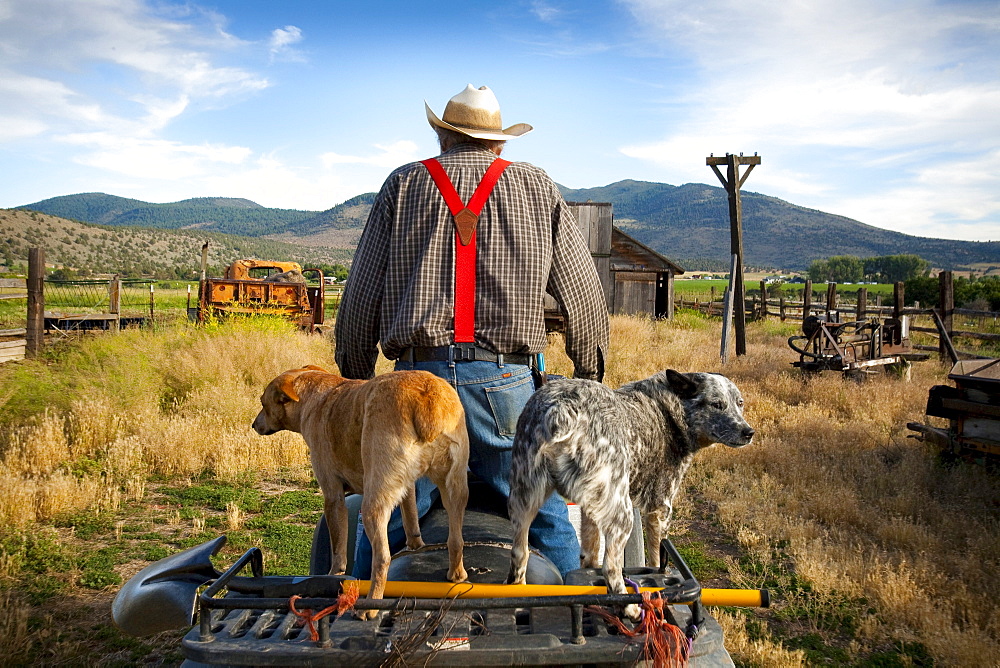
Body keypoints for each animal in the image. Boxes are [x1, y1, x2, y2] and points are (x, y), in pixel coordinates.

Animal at [250, 366, 468, 616]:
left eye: (263, 403)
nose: (253, 425)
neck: (316, 395)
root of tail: (426, 397)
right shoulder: (408, 487)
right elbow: (411, 518)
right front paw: (416, 546)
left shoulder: (333, 496)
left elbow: (338, 549)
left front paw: (333, 576)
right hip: (455, 487)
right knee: (456, 540)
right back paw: (456, 575)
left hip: (373, 502)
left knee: (382, 558)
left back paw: (370, 605)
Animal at [508, 368, 752, 620]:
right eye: (717, 404)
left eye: (740, 403)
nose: (748, 432)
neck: (669, 409)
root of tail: (562, 408)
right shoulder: (660, 509)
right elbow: (656, 560)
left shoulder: (589, 509)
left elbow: (590, 552)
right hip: (622, 513)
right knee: (611, 567)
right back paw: (628, 607)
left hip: (523, 500)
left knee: (519, 553)